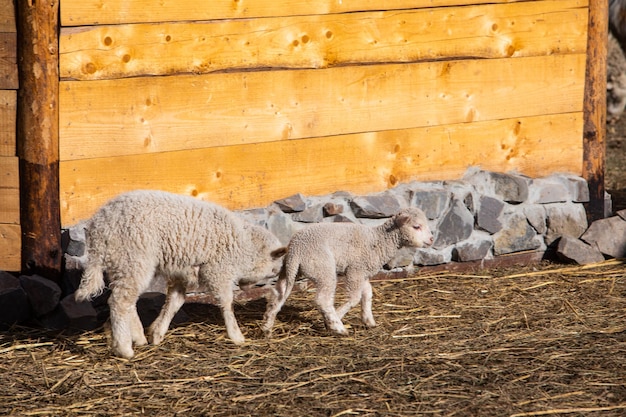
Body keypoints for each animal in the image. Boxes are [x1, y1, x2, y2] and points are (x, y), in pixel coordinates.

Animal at [73, 190, 286, 356]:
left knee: (127, 301)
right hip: (133, 258)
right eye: (273, 271)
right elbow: (226, 303)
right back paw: (124, 348)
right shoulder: (218, 270)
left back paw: (139, 337)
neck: (245, 246)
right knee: (119, 302)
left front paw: (157, 332)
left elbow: (174, 302)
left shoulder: (181, 273)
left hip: (122, 264)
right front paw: (236, 335)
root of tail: (98, 227)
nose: (246, 287)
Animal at [260, 206, 432, 336]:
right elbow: (355, 298)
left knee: (278, 294)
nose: (431, 240)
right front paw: (336, 317)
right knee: (323, 299)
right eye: (416, 226)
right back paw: (338, 327)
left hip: (289, 271)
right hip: (322, 268)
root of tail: (296, 250)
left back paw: (267, 325)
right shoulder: (355, 270)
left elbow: (367, 294)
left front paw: (369, 320)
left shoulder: (363, 272)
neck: (379, 240)